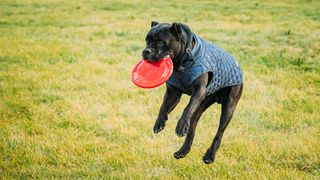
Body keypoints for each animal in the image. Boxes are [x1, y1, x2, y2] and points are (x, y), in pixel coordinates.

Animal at [142, 21, 242, 165]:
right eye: (147, 40)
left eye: (160, 42)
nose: (146, 51)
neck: (181, 64)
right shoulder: (173, 93)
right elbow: (163, 107)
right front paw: (160, 122)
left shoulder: (198, 91)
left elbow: (187, 108)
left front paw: (180, 125)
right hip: (200, 107)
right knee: (192, 128)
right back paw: (182, 151)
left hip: (229, 108)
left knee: (219, 133)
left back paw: (209, 156)